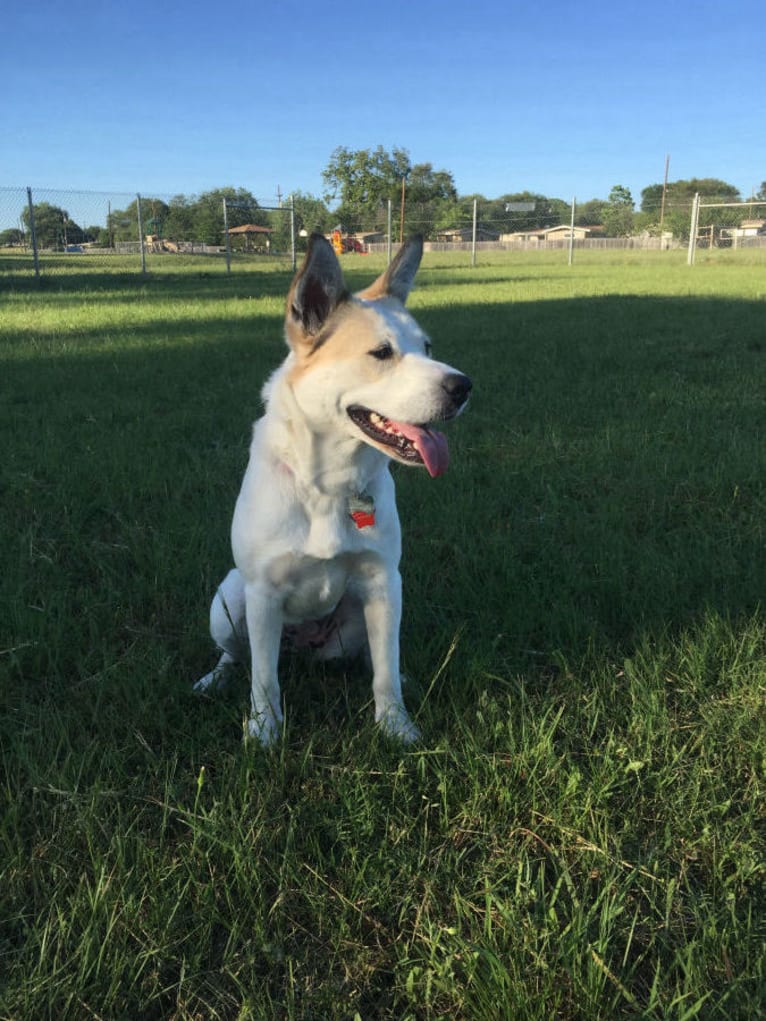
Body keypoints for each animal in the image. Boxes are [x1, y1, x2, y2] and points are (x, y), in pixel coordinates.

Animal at [196, 233, 473, 743]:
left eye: (427, 346)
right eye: (382, 353)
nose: (464, 387)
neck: (328, 485)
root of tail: (302, 647)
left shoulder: (384, 580)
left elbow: (384, 670)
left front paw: (397, 727)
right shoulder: (262, 592)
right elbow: (263, 679)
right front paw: (262, 733)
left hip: (367, 612)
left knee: (374, 656)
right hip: (230, 597)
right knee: (238, 656)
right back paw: (214, 680)